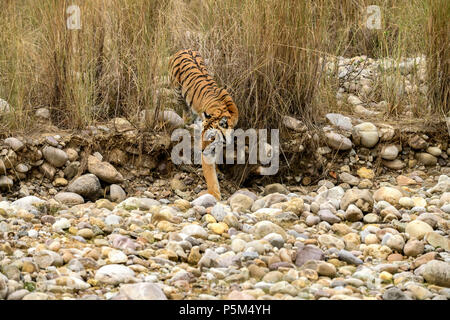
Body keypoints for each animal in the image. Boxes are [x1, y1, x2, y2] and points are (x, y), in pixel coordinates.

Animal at [169, 49, 239, 200]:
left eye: (212, 137)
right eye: (203, 135)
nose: (201, 149)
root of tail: (184, 49)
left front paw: (218, 171)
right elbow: (210, 173)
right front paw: (213, 194)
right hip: (177, 92)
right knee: (185, 111)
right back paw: (187, 122)